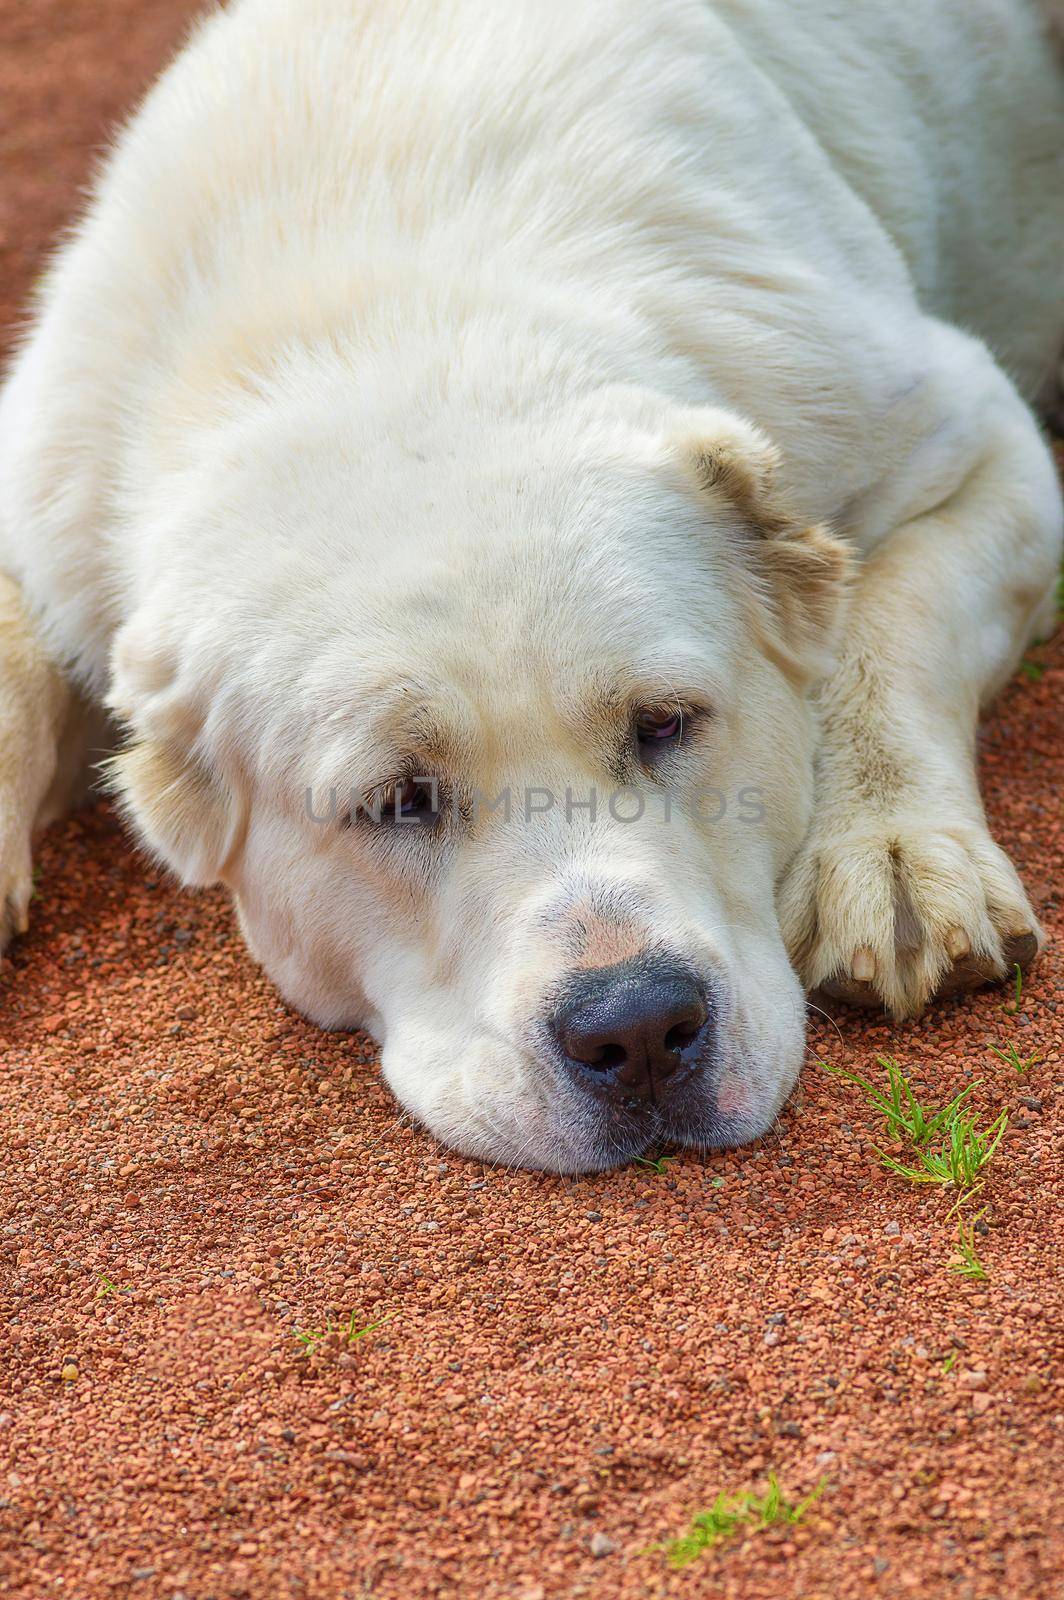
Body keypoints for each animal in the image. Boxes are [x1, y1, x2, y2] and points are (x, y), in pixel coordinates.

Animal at [2, 0, 1062, 1177]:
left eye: (667, 722)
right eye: (397, 801)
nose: (636, 1027)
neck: (389, 327)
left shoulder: (967, 435)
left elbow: (889, 624)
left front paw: (888, 851)